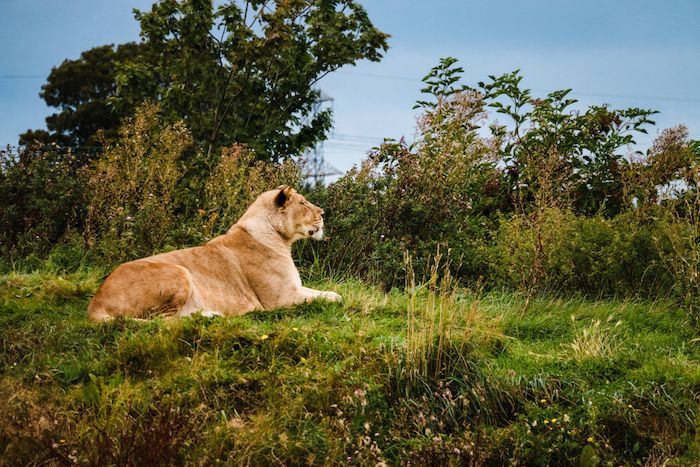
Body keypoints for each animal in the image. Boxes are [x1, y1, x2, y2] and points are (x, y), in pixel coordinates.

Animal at [87, 186, 341, 321]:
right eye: (303, 203)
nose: (323, 213)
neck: (281, 239)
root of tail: (95, 303)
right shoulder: (280, 299)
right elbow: (327, 298)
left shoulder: (294, 288)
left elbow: (327, 292)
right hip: (179, 272)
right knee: (165, 322)